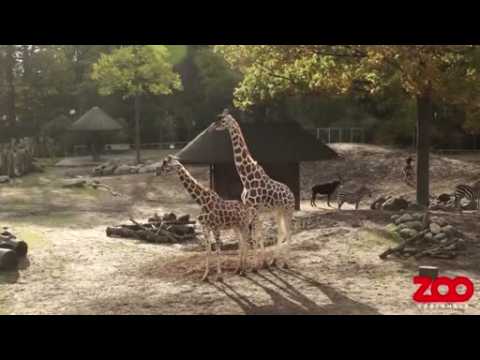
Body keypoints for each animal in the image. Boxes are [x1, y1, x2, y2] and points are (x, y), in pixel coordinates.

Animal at [209, 109, 296, 270]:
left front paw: (256, 264)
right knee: (281, 232)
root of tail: (292, 194)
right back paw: (274, 260)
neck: (246, 177)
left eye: (222, 120)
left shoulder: (255, 208)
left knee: (289, 232)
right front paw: (258, 263)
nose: (211, 128)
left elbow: (255, 235)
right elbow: (253, 235)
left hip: (288, 210)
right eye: (217, 118)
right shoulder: (249, 208)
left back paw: (286, 262)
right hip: (278, 211)